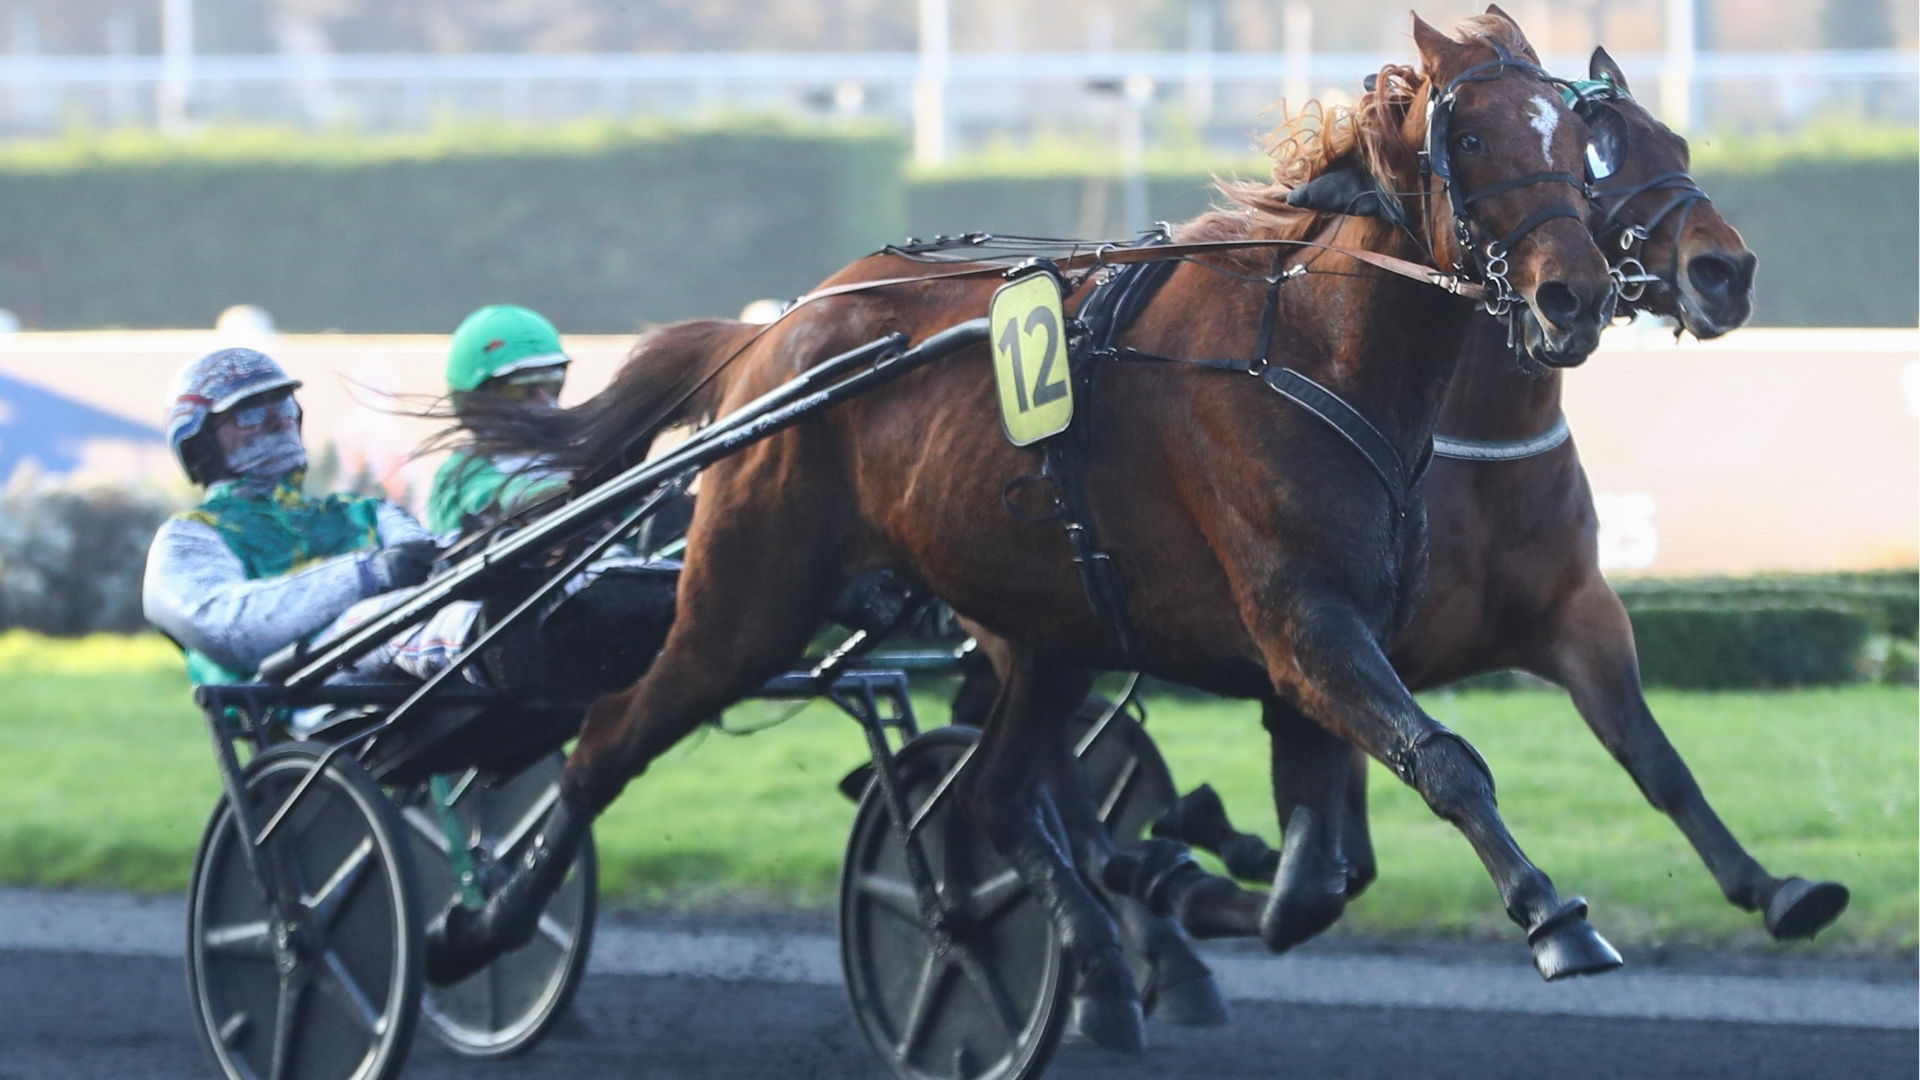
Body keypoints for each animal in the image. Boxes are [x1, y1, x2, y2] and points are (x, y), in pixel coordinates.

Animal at [428, 12, 1622, 1055]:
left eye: (1578, 146)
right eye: (1475, 138)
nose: (1577, 295)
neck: (1308, 352)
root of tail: (775, 335)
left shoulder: (1330, 638)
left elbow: (1316, 884)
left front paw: (1177, 879)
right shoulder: (1303, 628)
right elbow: (1448, 763)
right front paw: (1555, 919)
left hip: (1050, 621)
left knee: (994, 793)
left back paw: (1089, 959)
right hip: (748, 601)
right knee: (608, 739)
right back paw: (474, 930)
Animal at [1139, 47, 1849, 947]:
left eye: (1677, 142)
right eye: (1601, 158)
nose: (1724, 270)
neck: (1477, 450)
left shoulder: (1575, 610)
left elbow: (1654, 757)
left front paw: (1776, 886)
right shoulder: (1338, 633)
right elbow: (1351, 830)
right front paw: (1206, 850)